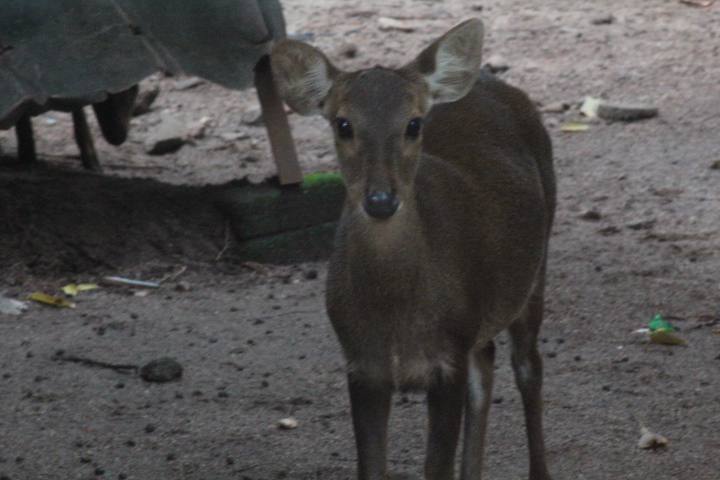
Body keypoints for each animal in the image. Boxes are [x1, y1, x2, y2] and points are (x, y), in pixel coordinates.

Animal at [271, 18, 556, 480]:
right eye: (342, 124)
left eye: (414, 124)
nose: (380, 200)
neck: (396, 312)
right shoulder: (362, 363)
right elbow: (372, 467)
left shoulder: (448, 357)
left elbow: (435, 466)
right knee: (487, 364)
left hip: (536, 268)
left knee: (528, 367)